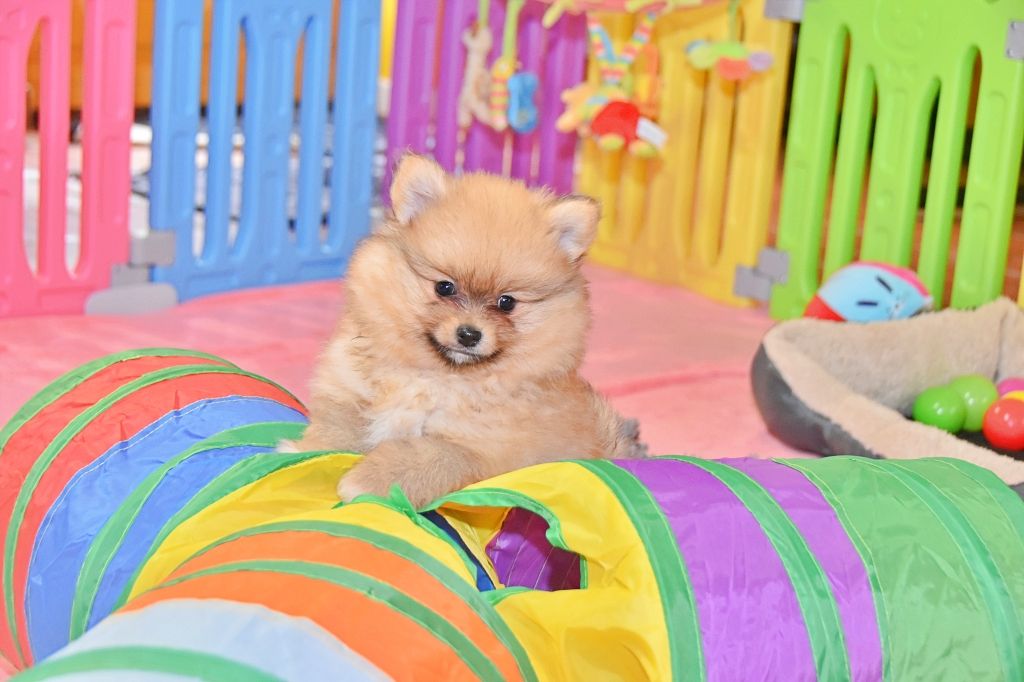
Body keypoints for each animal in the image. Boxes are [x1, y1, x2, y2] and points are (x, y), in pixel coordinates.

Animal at [284, 154, 647, 506]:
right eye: (444, 287)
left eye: (506, 303)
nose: (469, 334)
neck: (437, 377)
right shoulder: (350, 393)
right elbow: (338, 427)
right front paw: (305, 452)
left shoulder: (476, 448)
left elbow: (426, 455)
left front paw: (366, 481)